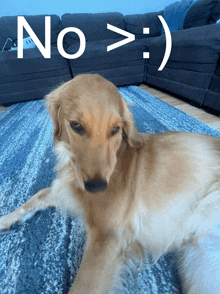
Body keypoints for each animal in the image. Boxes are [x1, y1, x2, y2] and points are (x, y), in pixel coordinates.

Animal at [0, 74, 220, 292]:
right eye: (76, 126)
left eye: (115, 129)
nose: (97, 186)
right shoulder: (68, 192)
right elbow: (39, 194)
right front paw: (8, 218)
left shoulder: (108, 237)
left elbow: (81, 287)